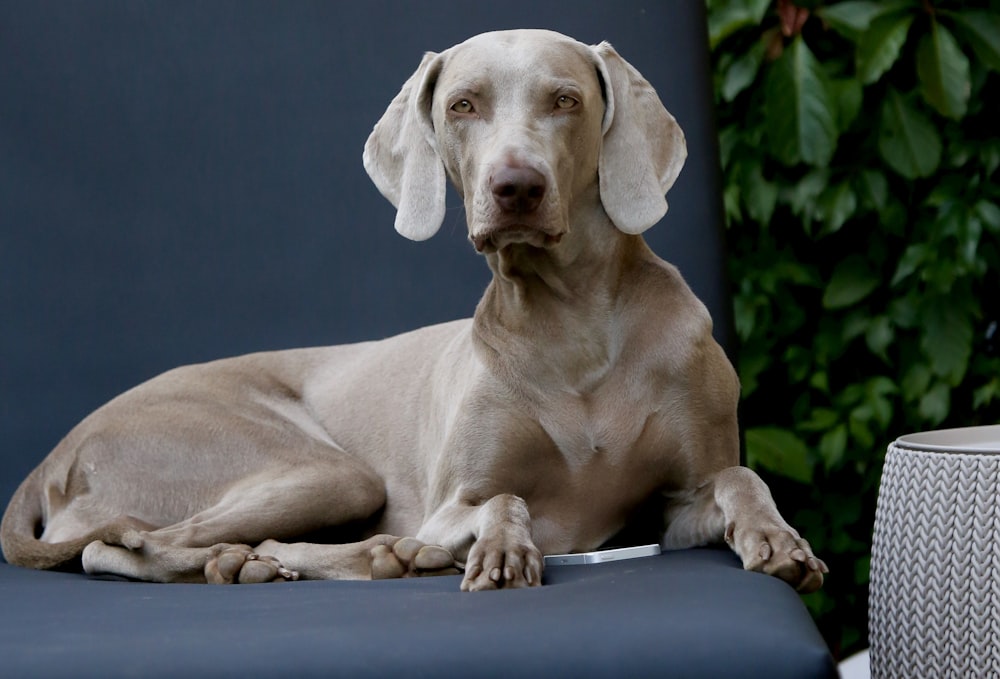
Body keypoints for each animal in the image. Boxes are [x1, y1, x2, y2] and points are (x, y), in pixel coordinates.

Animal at [0, 29, 828, 592]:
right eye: (463, 105)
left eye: (566, 100)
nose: (515, 187)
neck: (572, 323)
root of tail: (56, 452)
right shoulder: (449, 500)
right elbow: (499, 496)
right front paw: (500, 546)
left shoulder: (675, 503)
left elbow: (737, 480)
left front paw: (779, 540)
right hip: (318, 468)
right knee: (120, 541)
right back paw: (307, 556)